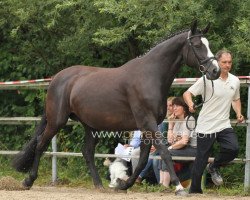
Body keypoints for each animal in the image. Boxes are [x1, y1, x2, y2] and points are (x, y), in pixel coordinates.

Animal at [13, 20, 221, 195]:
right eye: (197, 45)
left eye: (208, 44)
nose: (215, 71)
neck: (150, 75)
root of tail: (57, 78)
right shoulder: (148, 123)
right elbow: (164, 153)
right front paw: (179, 187)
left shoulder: (147, 126)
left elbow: (142, 160)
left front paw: (123, 185)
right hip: (57, 121)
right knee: (41, 144)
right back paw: (28, 181)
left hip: (91, 126)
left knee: (87, 152)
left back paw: (99, 185)